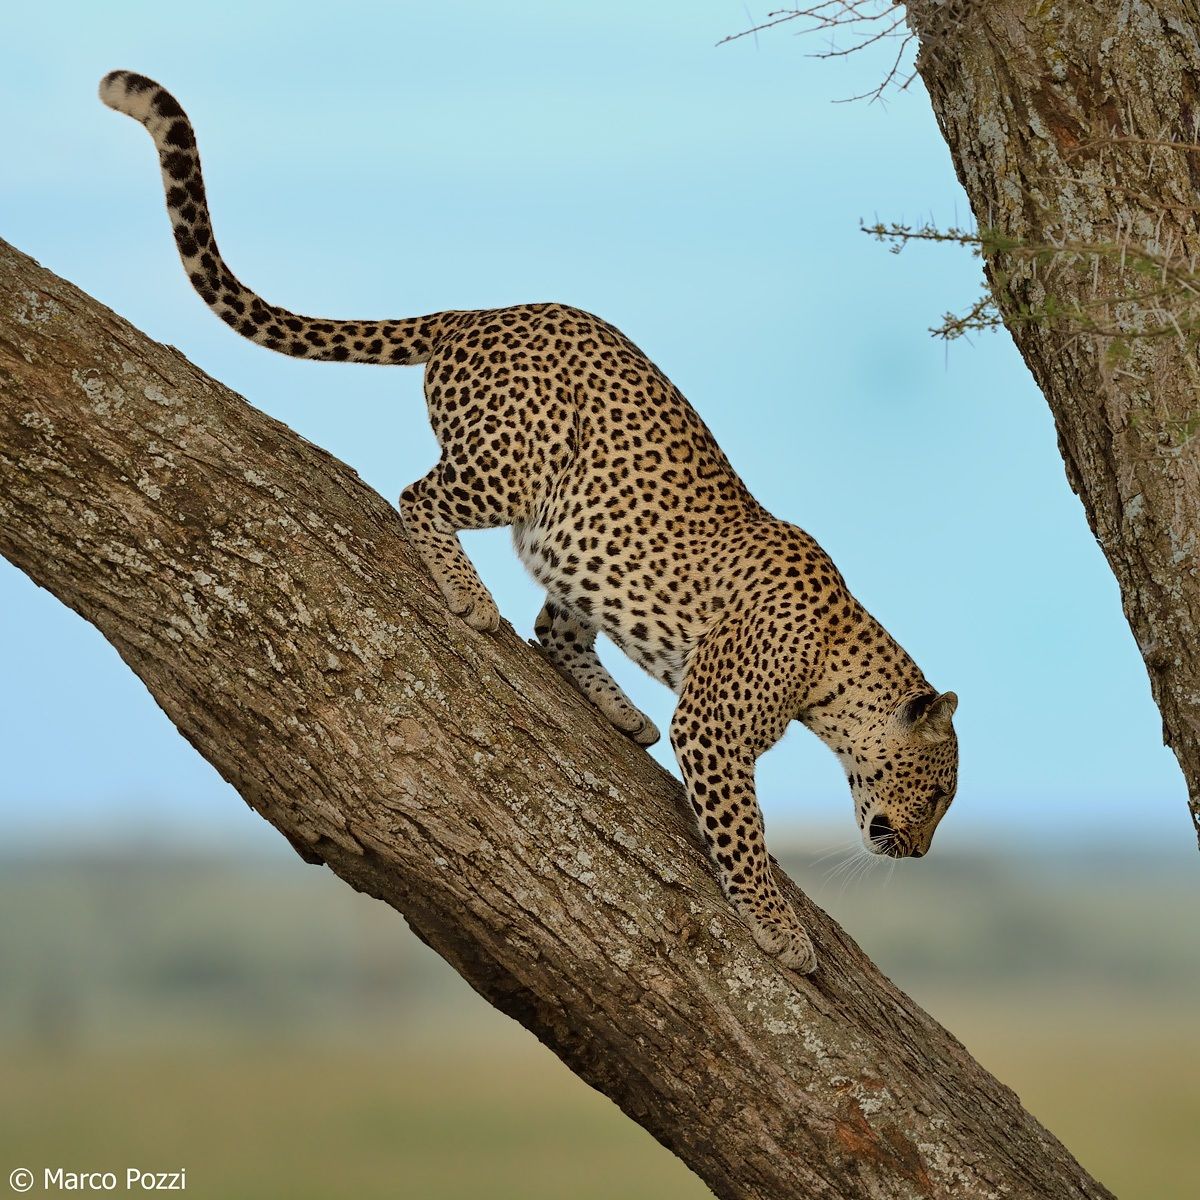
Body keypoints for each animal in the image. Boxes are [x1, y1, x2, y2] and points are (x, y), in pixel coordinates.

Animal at [100, 70, 959, 973]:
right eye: (937, 791)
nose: (921, 851)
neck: (835, 675)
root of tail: (478, 313)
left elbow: (569, 638)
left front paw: (625, 717)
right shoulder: (715, 731)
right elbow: (743, 837)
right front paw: (780, 931)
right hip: (516, 465)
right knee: (419, 494)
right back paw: (469, 597)